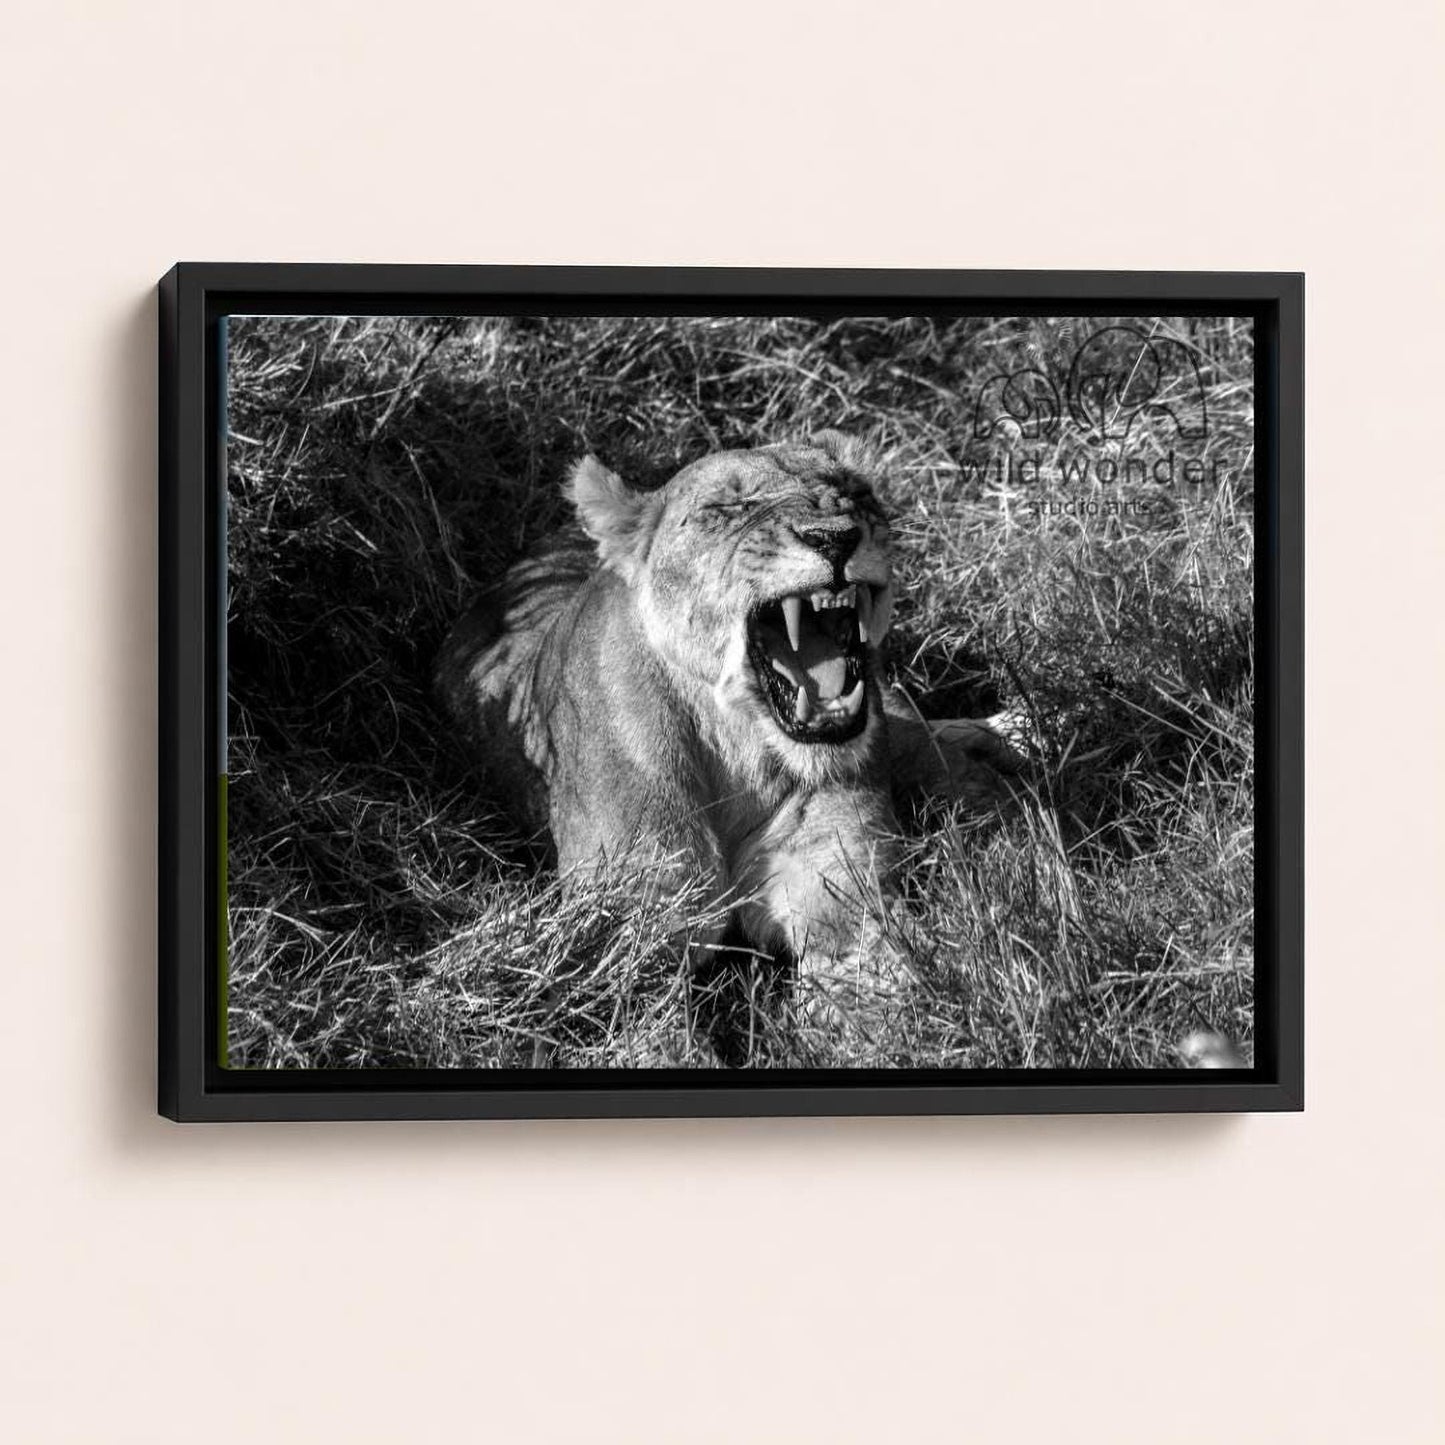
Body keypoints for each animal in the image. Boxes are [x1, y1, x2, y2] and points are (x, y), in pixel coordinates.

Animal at [436, 434, 1016, 1033]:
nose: (835, 536)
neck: (738, 748)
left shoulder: (839, 888)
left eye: (853, 491)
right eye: (726, 507)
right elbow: (648, 1034)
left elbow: (875, 1004)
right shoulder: (634, 926)